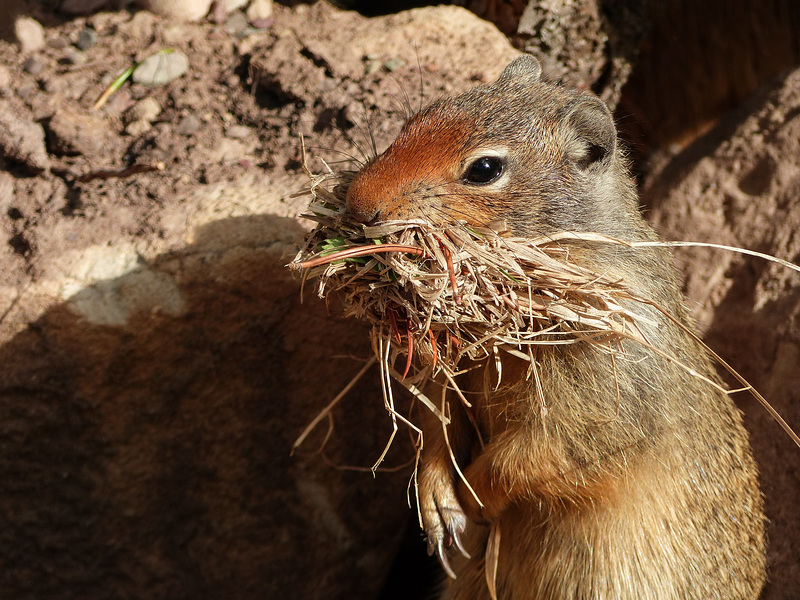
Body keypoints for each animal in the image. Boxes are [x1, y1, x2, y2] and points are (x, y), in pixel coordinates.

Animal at [346, 56, 768, 600]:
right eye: (417, 119)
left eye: (485, 169)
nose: (358, 204)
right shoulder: (448, 377)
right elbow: (437, 430)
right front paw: (439, 507)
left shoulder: (576, 427)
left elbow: (512, 467)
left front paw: (470, 506)